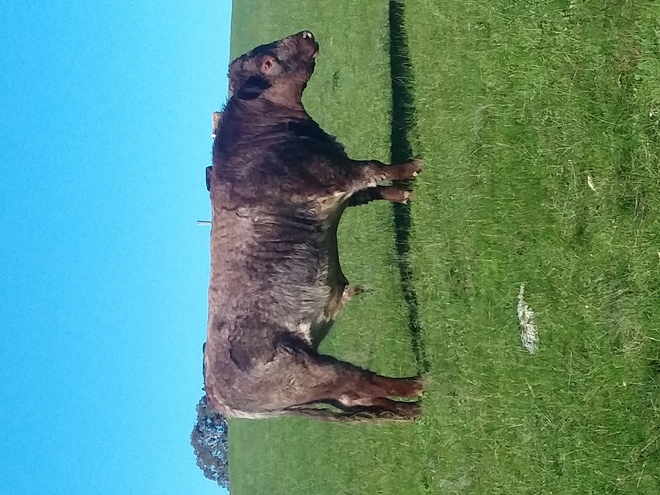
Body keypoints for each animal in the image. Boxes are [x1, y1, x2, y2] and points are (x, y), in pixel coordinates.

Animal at [203, 31, 424, 421]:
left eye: (264, 54)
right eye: (268, 64)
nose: (305, 34)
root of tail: (220, 397)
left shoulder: (340, 184)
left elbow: (373, 191)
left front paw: (402, 194)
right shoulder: (337, 173)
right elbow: (376, 168)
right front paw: (412, 166)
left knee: (357, 399)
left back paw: (407, 410)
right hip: (310, 371)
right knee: (360, 383)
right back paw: (416, 388)